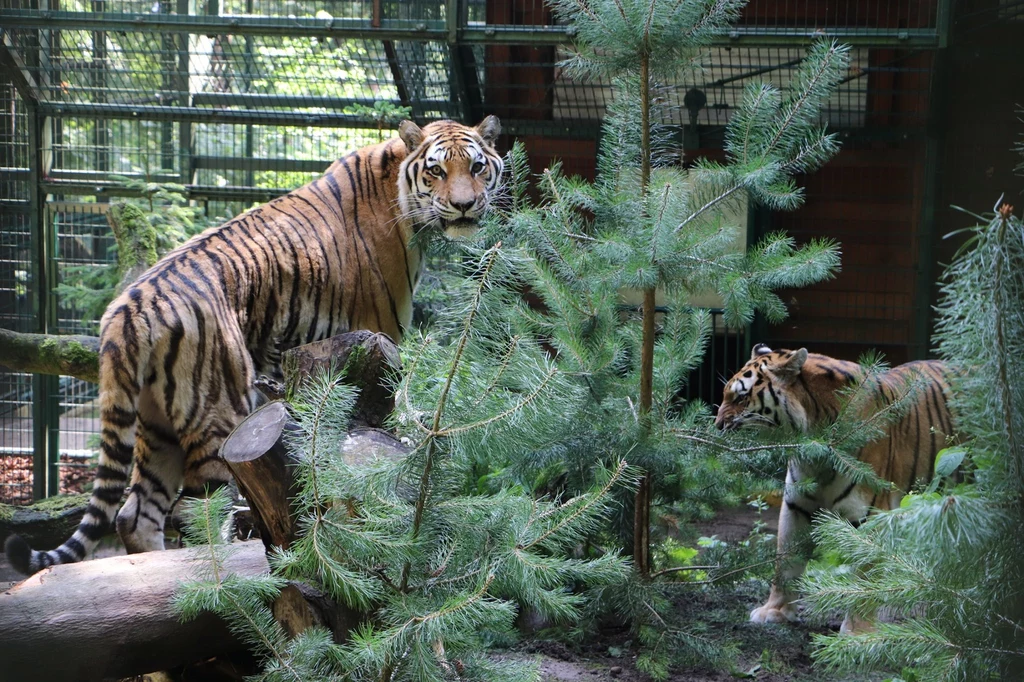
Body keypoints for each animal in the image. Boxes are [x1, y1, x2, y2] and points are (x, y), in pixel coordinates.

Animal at [6, 116, 505, 573]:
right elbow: (381, 405)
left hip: (155, 425)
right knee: (194, 513)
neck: (397, 182)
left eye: (477, 166)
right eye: (436, 171)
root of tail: (125, 310)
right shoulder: (379, 331)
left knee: (134, 515)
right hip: (217, 413)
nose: (464, 207)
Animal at [716, 342, 954, 630]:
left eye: (740, 398)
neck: (812, 448)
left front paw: (857, 631)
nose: (717, 426)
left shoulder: (870, 514)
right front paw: (775, 610)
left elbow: (865, 574)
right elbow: (785, 562)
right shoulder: (796, 505)